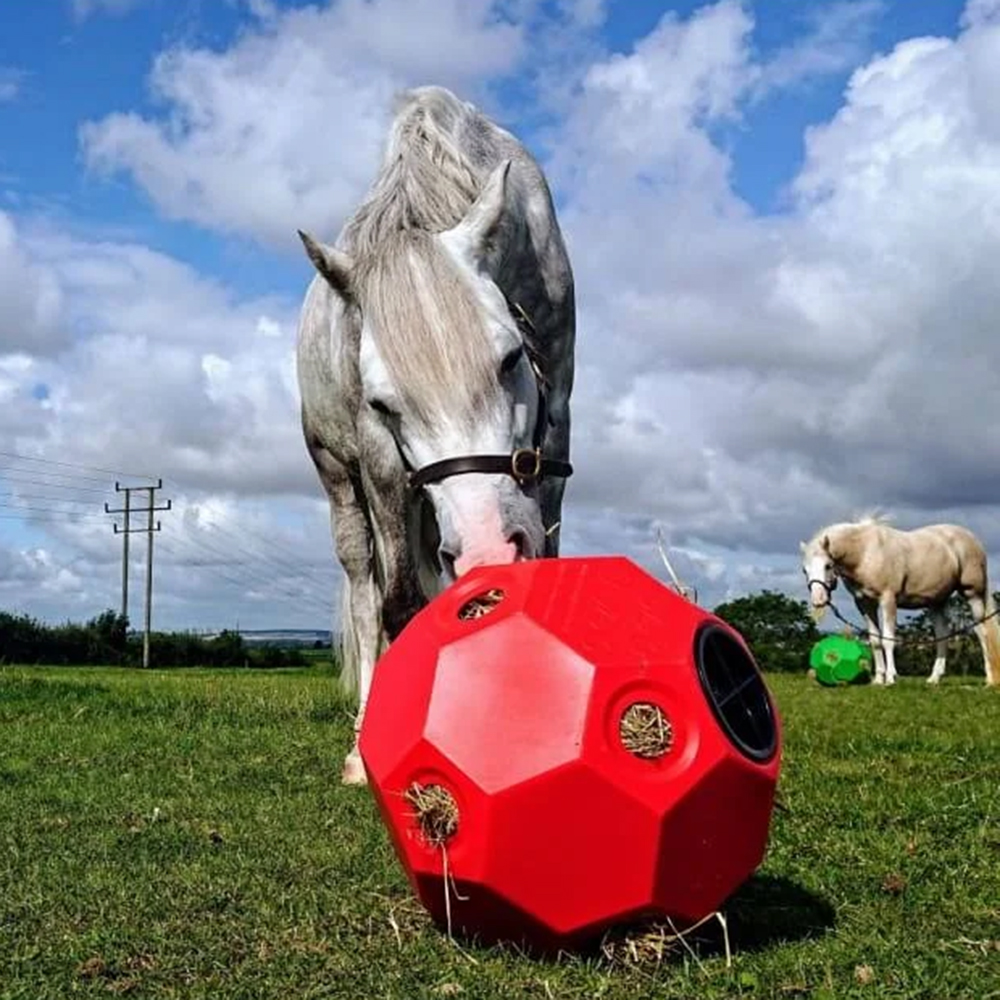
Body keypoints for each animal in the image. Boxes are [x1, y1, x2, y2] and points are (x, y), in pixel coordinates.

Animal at [296, 86, 576, 784]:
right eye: (382, 403)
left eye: (510, 359)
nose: (487, 550)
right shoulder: (378, 457)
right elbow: (397, 602)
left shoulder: (555, 432)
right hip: (339, 482)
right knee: (368, 592)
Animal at [800, 516, 1000, 688]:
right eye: (804, 570)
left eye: (828, 566)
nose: (818, 600)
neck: (865, 552)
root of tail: (972, 539)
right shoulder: (865, 604)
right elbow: (875, 640)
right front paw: (878, 679)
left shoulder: (888, 599)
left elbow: (888, 640)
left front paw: (890, 678)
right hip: (936, 601)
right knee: (942, 634)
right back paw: (934, 678)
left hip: (972, 595)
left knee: (982, 633)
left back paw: (989, 679)